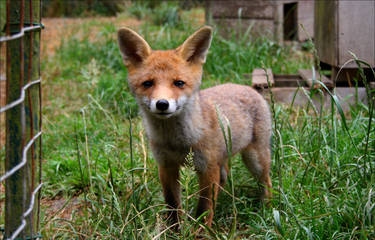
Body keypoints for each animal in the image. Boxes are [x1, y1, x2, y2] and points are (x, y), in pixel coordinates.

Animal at [117, 25, 274, 227]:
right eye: (148, 83)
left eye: (179, 83)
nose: (162, 104)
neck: (176, 143)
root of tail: (247, 87)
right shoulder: (166, 166)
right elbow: (173, 205)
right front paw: (174, 230)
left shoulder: (207, 167)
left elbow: (205, 207)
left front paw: (201, 230)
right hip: (223, 160)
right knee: (224, 176)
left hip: (255, 159)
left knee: (266, 182)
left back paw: (266, 210)